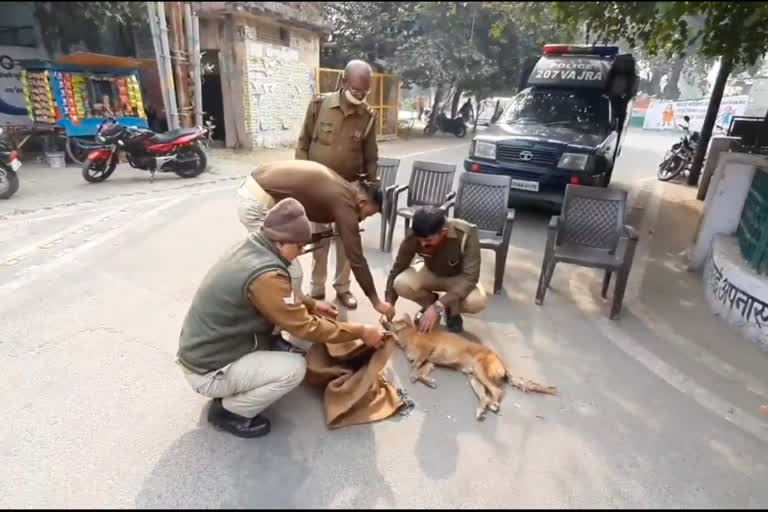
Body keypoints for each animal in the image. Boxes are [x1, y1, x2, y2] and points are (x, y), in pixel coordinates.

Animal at [384, 312, 560, 420]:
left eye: (395, 321)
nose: (384, 321)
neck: (409, 336)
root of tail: (501, 362)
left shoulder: (427, 351)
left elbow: (414, 367)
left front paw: (414, 375)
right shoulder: (430, 362)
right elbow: (421, 371)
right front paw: (428, 381)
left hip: (481, 372)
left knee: (497, 391)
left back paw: (494, 404)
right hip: (474, 379)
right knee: (485, 396)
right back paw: (482, 409)